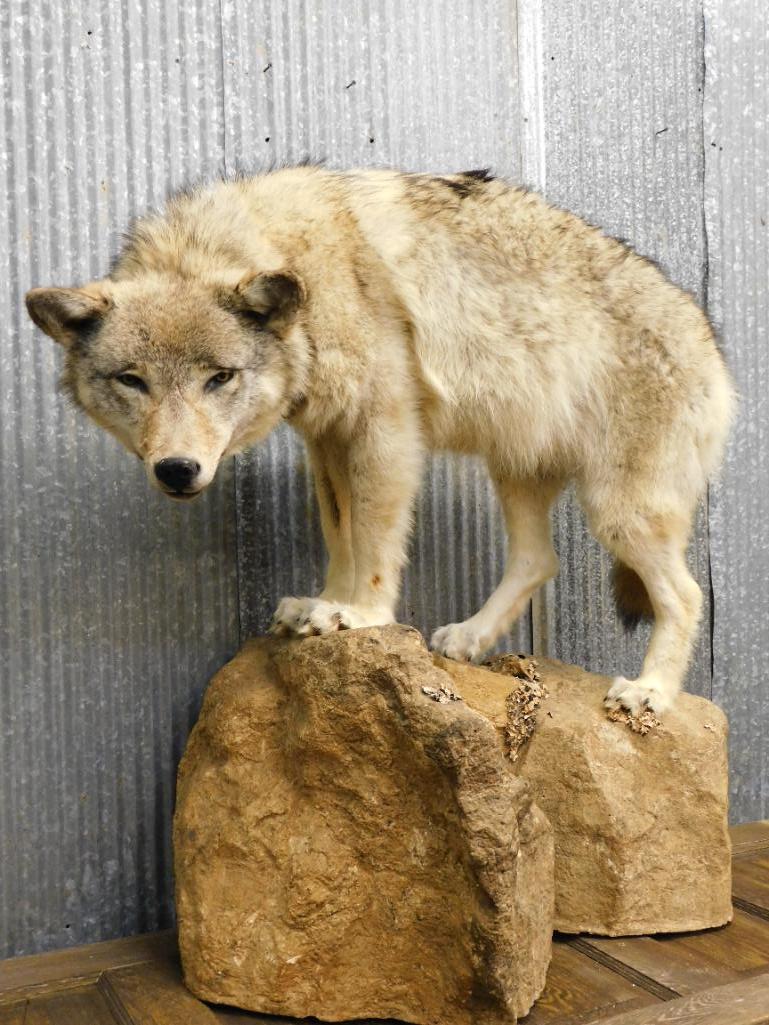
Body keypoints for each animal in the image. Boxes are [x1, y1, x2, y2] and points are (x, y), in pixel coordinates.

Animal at [26, 166, 735, 713]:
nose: (176, 469)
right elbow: (341, 534)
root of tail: (714, 351)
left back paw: (650, 693)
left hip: (619, 513)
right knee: (539, 560)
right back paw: (469, 639)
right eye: (132, 380)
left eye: (219, 377)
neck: (310, 277)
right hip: (517, 474)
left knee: (687, 594)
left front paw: (360, 616)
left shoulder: (385, 429)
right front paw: (324, 607)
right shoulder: (326, 440)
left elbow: (373, 538)